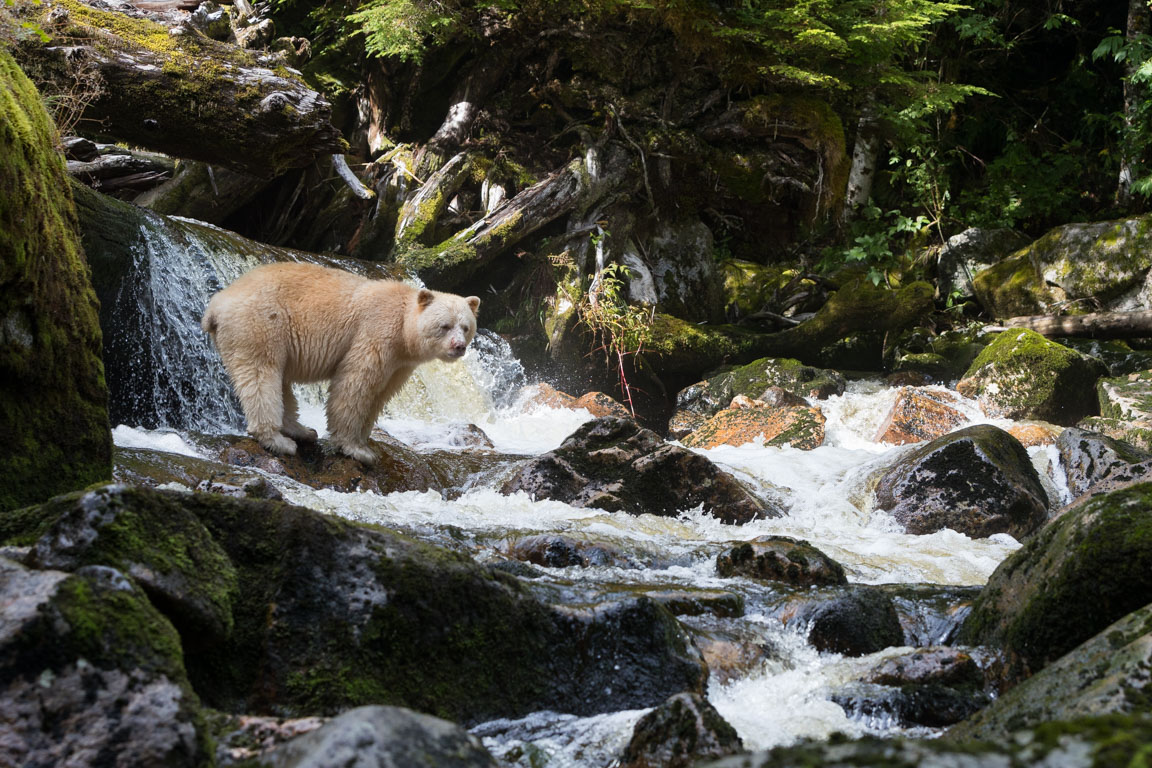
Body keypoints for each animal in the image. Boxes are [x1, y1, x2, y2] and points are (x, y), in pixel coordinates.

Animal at [202, 261, 481, 462]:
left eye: (466, 327)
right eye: (445, 325)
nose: (459, 346)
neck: (404, 330)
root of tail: (216, 304)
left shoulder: (400, 363)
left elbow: (379, 394)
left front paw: (364, 442)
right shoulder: (375, 334)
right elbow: (355, 384)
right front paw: (356, 449)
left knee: (281, 382)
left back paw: (301, 430)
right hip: (261, 324)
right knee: (262, 374)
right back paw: (278, 440)